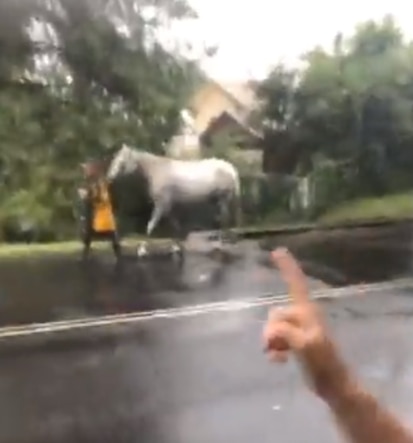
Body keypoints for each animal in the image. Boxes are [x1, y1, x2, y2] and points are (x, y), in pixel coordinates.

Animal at [106, 146, 243, 248]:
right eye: (114, 158)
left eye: (122, 161)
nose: (110, 176)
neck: (157, 170)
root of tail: (231, 168)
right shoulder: (167, 205)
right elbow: (172, 221)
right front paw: (179, 240)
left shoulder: (161, 204)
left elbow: (152, 224)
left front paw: (144, 246)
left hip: (223, 199)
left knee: (225, 219)